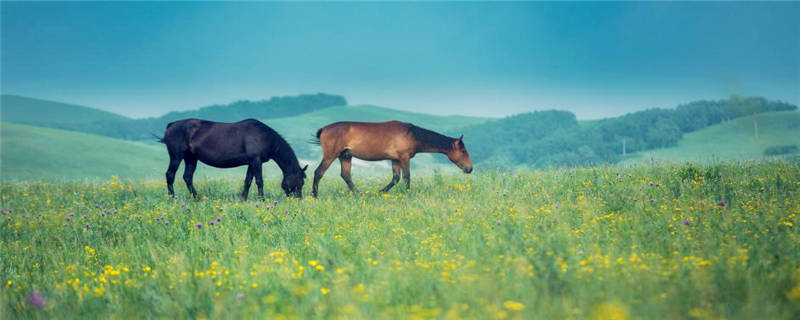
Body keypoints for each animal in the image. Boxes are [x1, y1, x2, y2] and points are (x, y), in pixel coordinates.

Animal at [159, 119, 306, 199]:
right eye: (300, 182)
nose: (298, 200)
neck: (264, 136)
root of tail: (171, 125)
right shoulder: (256, 161)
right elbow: (259, 181)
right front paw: (262, 199)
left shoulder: (251, 163)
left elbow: (248, 181)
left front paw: (243, 199)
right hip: (176, 156)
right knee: (170, 175)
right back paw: (173, 198)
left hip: (191, 158)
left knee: (188, 177)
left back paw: (196, 198)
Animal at [310, 121, 476, 196]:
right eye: (463, 151)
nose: (470, 168)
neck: (412, 135)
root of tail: (324, 129)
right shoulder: (404, 158)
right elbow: (407, 176)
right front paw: (408, 193)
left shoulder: (395, 160)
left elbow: (395, 178)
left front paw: (380, 192)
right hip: (330, 156)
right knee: (319, 172)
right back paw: (315, 195)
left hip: (345, 156)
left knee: (346, 175)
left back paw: (359, 193)